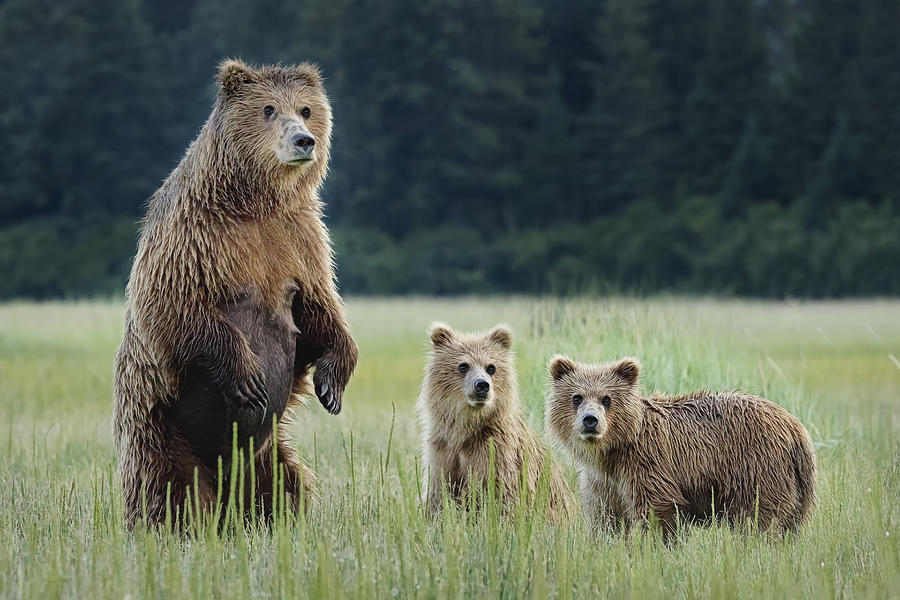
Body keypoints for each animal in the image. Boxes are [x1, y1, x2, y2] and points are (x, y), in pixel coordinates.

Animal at [115, 59, 358, 528]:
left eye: (305, 109)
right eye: (268, 109)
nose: (304, 140)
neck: (257, 200)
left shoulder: (300, 240)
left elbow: (320, 309)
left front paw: (331, 386)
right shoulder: (195, 235)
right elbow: (172, 304)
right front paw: (247, 375)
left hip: (265, 453)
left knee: (287, 484)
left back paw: (276, 520)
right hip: (159, 430)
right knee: (169, 488)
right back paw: (176, 525)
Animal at [544, 354, 820, 540]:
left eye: (606, 399)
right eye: (576, 397)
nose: (590, 420)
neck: (611, 451)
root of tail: (797, 428)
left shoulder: (647, 463)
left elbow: (657, 509)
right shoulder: (603, 482)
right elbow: (607, 517)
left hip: (758, 468)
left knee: (759, 518)